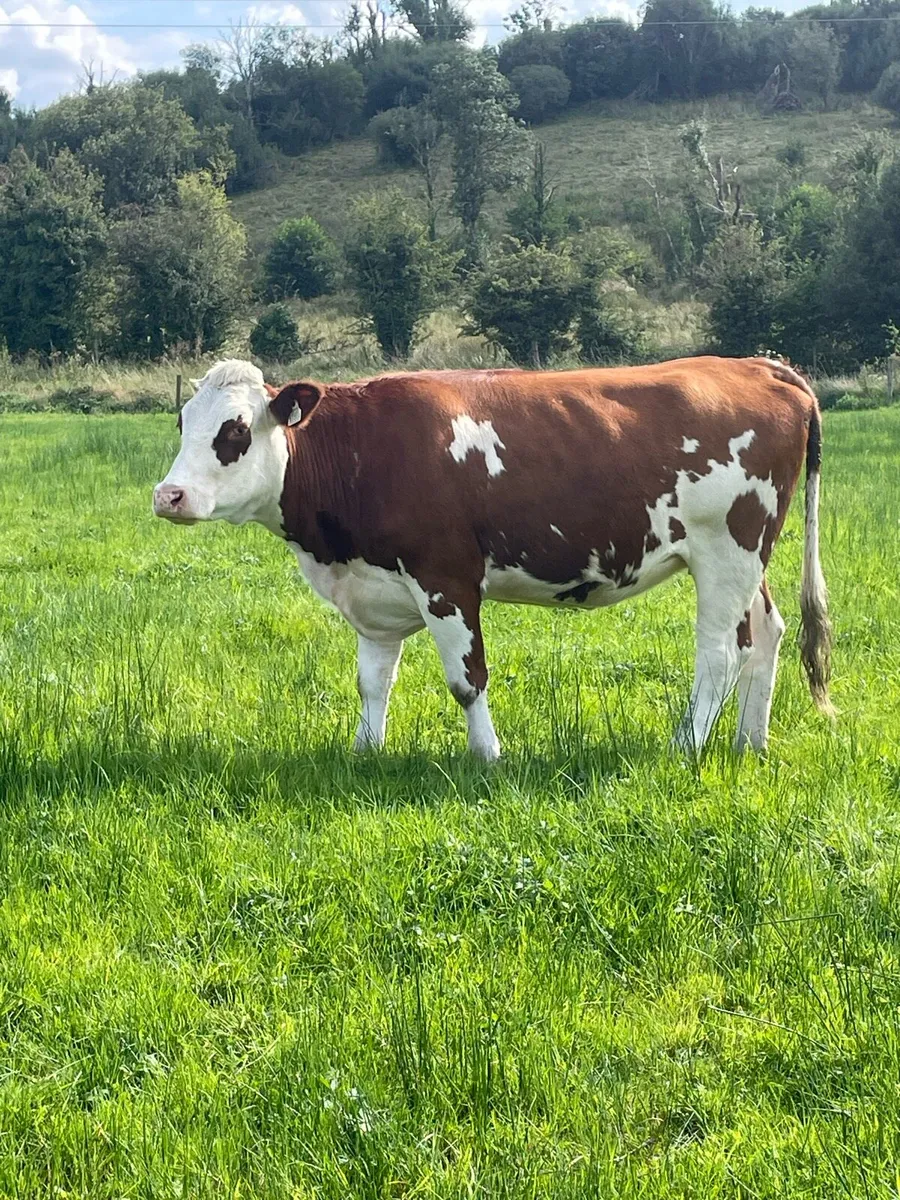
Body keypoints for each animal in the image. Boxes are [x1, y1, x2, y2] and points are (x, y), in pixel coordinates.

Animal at [153, 356, 832, 760]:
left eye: (235, 431)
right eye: (183, 424)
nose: (168, 495)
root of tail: (759, 365)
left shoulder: (446, 579)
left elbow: (466, 679)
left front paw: (487, 756)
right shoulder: (375, 590)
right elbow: (373, 680)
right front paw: (365, 752)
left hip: (726, 549)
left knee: (718, 654)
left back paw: (685, 747)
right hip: (746, 556)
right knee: (766, 632)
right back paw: (750, 743)